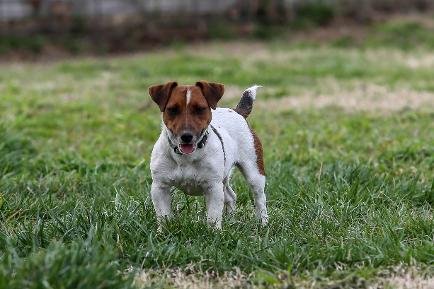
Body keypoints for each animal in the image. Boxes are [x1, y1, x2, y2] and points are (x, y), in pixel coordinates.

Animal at [149, 79, 268, 227]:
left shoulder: (213, 188)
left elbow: (213, 216)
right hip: (224, 177)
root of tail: (237, 112)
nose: (186, 136)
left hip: (254, 172)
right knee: (231, 196)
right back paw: (230, 221)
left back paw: (263, 223)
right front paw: (164, 230)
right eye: (173, 109)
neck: (186, 158)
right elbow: (163, 216)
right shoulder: (160, 187)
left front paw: (214, 231)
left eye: (200, 109)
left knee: (260, 198)